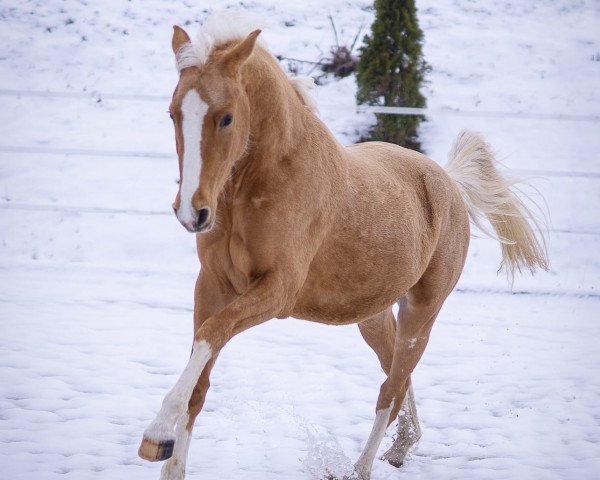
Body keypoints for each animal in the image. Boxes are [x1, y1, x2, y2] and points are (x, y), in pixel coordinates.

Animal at [139, 12, 548, 480]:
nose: (193, 212)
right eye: (173, 113)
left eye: (226, 118)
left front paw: (155, 435)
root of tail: (448, 182)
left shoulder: (276, 292)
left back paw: (361, 468)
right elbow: (200, 377)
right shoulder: (212, 285)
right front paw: (169, 457)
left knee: (391, 390)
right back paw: (402, 447)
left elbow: (210, 337)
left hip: (421, 312)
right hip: (373, 316)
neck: (267, 181)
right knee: (397, 376)